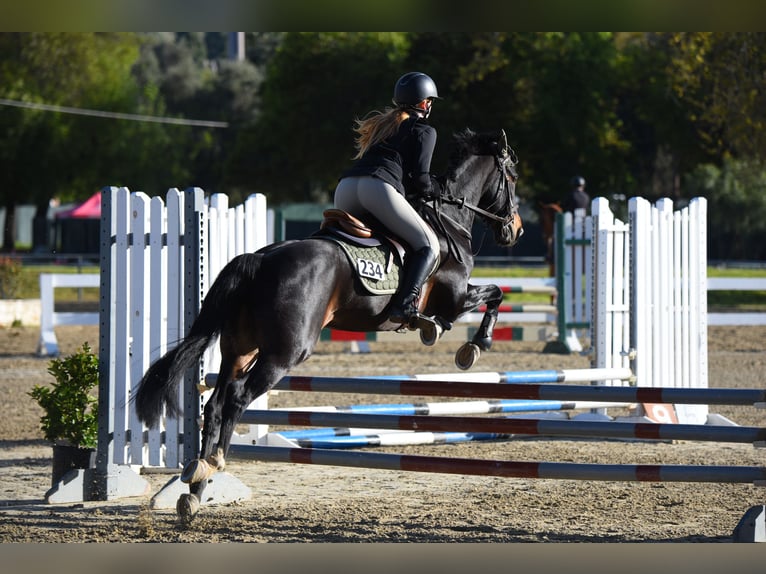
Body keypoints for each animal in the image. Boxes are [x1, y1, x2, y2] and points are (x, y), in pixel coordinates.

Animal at [134, 128, 524, 520]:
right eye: (512, 178)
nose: (516, 231)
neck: (448, 220)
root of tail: (260, 260)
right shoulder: (455, 298)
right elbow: (494, 295)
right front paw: (474, 346)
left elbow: (490, 296)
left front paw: (446, 334)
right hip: (285, 353)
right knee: (237, 398)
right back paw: (213, 463)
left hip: (240, 350)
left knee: (214, 404)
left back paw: (197, 486)